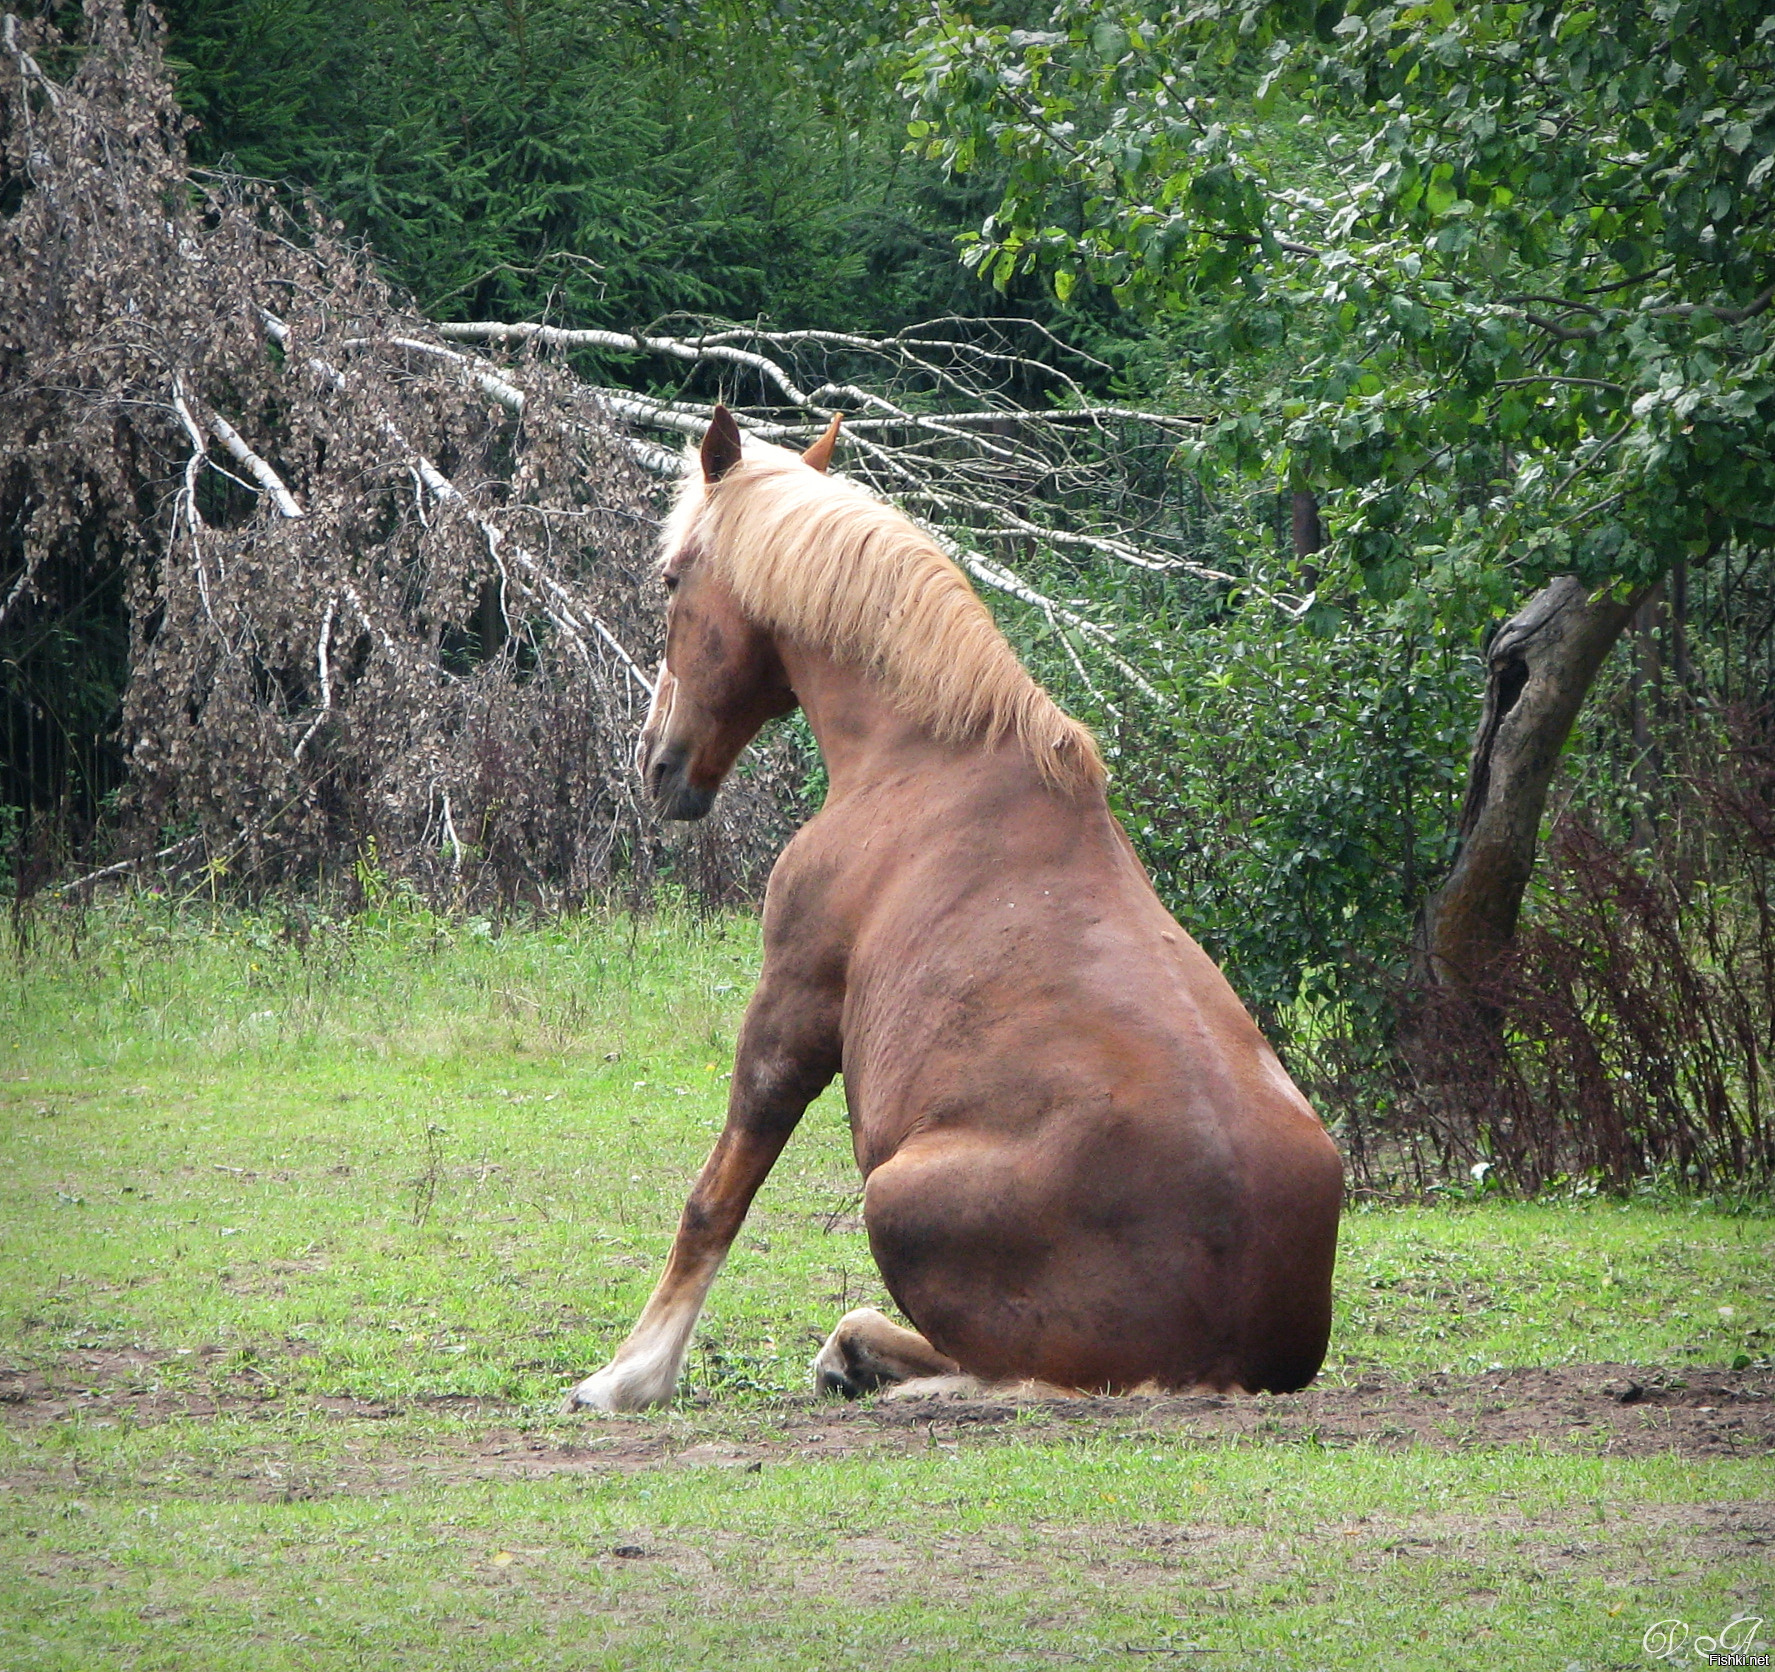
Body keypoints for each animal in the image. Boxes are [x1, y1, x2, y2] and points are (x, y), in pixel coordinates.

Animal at [568, 408, 1341, 1412]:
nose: (657, 763)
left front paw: (631, 1374)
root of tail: (1242, 1357)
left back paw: (860, 1356)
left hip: (893, 1196)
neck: (920, 757)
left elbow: (715, 1196)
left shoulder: (791, 1008)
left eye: (671, 582)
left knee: (986, 1365)